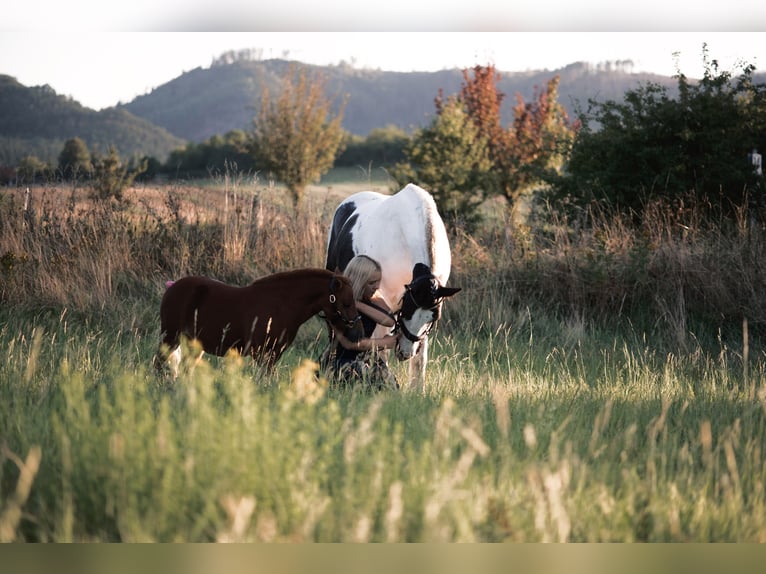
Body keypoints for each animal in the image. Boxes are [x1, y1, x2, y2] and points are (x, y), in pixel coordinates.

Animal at [156, 268, 364, 378]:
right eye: (346, 303)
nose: (358, 332)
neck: (282, 305)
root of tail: (172, 287)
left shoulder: (274, 355)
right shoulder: (262, 354)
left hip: (194, 345)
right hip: (170, 337)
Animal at [326, 184, 462, 392]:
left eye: (433, 317)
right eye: (406, 308)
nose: (405, 352)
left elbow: (420, 357)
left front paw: (418, 391)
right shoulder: (384, 303)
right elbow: (379, 348)